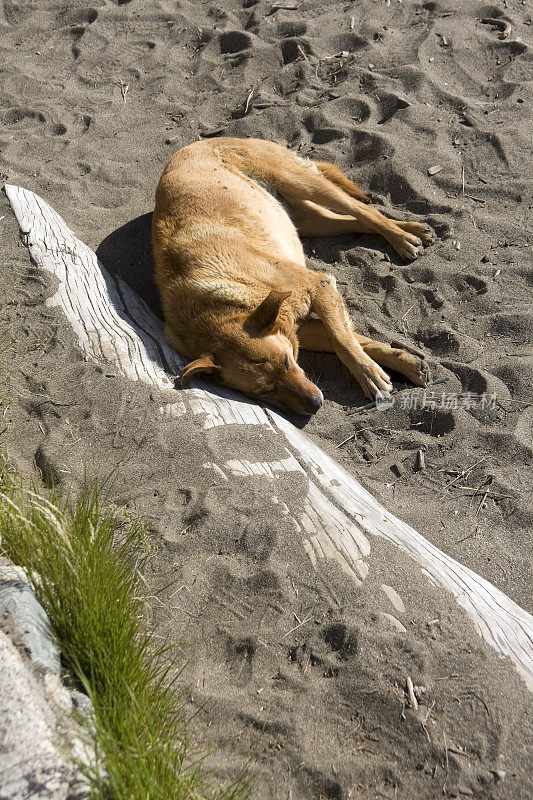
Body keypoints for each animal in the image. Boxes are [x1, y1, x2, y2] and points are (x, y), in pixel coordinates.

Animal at [151, 138, 432, 416]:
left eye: (287, 363)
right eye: (263, 392)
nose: (315, 404)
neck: (216, 305)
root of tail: (199, 142)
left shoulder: (319, 286)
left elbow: (342, 340)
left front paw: (369, 374)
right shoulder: (294, 326)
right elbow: (351, 339)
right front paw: (402, 362)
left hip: (302, 183)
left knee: (365, 211)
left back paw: (402, 238)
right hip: (309, 221)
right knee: (356, 220)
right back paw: (415, 230)